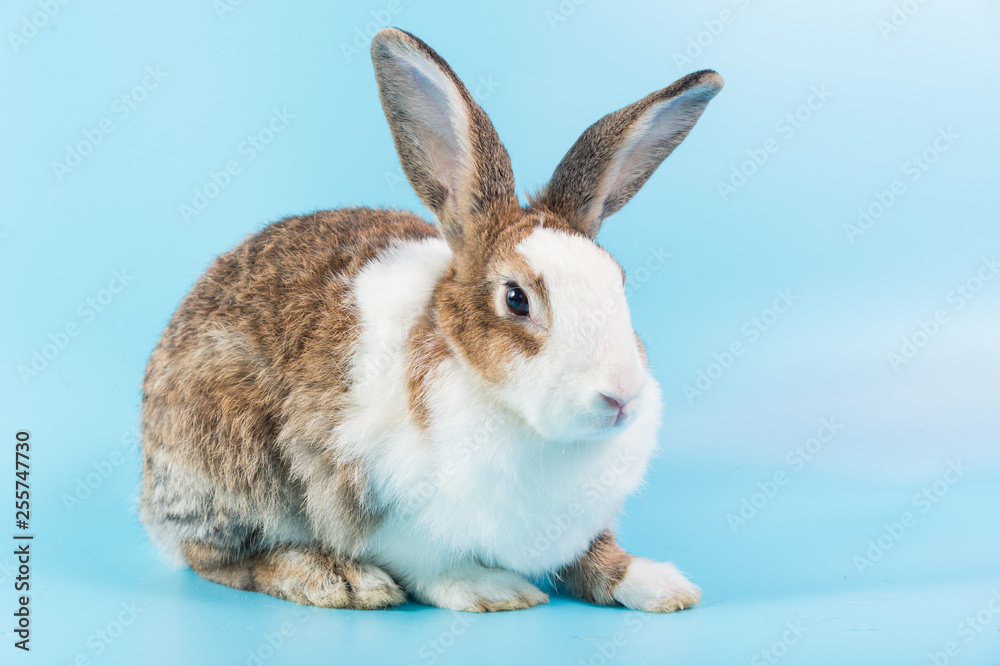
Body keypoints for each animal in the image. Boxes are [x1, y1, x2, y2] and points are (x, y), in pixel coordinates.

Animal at [139, 27, 723, 613]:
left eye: (619, 282)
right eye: (516, 299)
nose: (621, 396)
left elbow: (597, 555)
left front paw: (661, 586)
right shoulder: (390, 511)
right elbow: (434, 567)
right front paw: (492, 590)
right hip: (233, 461)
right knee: (221, 559)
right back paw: (335, 578)